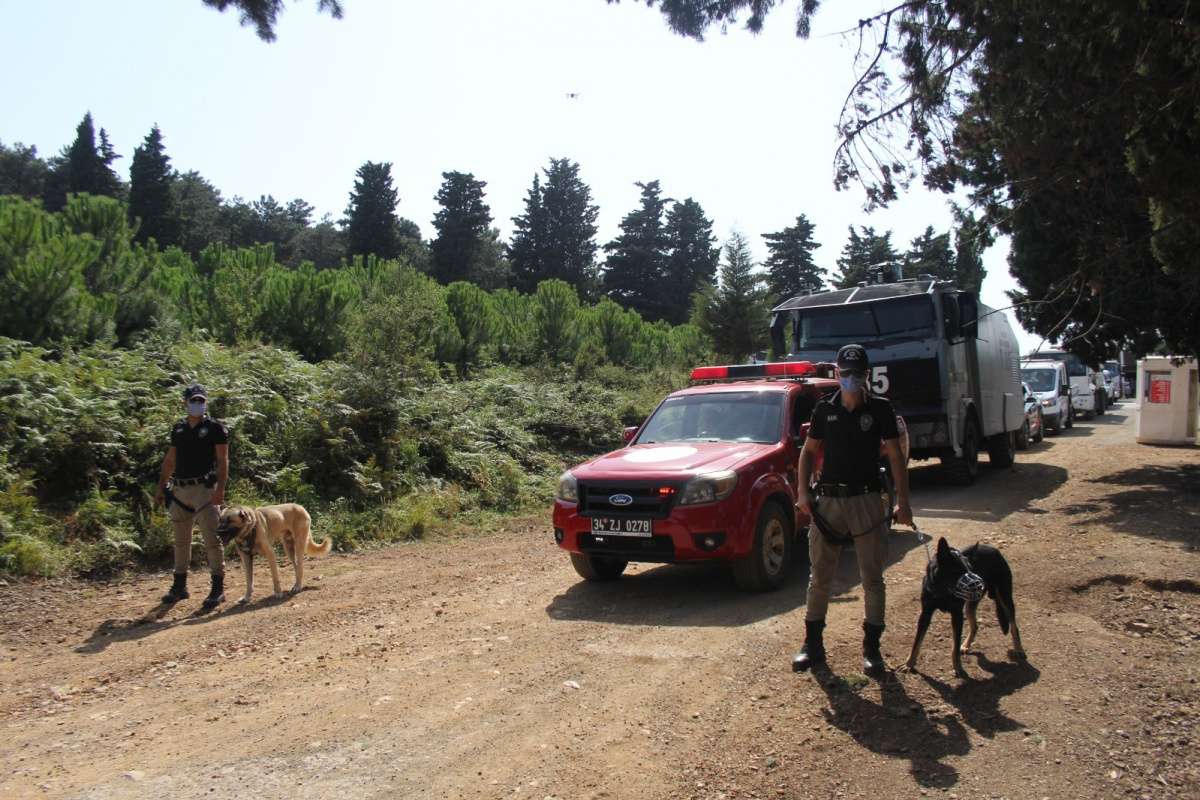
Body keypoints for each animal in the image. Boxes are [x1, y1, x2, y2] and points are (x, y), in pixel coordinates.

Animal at [897, 534, 1027, 681]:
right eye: (957, 571)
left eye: (970, 569)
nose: (977, 583)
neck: (942, 591)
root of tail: (993, 549)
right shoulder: (925, 614)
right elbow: (916, 642)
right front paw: (909, 663)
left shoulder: (957, 615)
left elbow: (954, 647)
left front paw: (958, 668)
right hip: (970, 605)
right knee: (975, 625)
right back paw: (966, 645)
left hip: (1005, 598)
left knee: (1014, 625)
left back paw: (1019, 649)